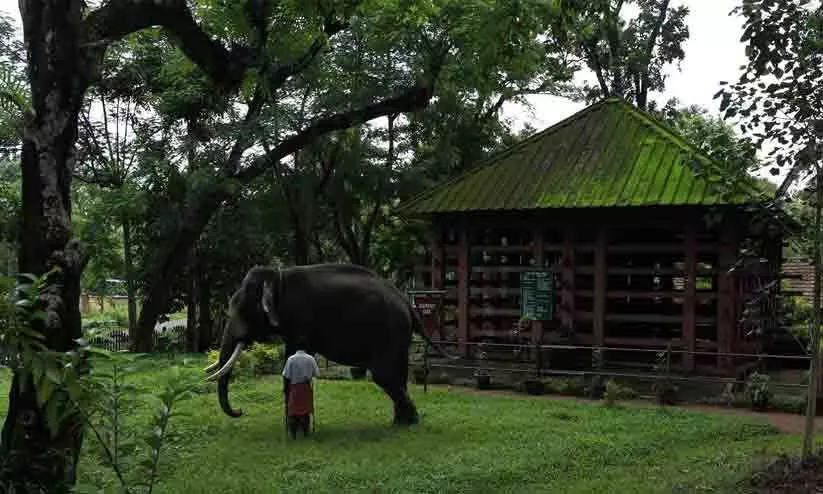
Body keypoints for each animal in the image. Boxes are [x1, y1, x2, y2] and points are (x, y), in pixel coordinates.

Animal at [204, 264, 454, 426]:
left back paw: (408, 422)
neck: (277, 277)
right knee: (397, 376)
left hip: (390, 331)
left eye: (242, 310)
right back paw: (401, 422)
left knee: (384, 375)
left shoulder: (300, 319)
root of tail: (407, 303)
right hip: (399, 335)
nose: (240, 411)